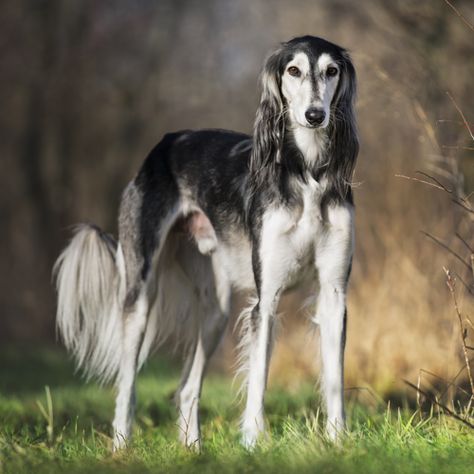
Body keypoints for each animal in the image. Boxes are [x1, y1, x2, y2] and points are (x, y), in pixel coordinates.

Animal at [54, 35, 356, 450]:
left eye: (332, 70)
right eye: (293, 70)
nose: (314, 115)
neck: (306, 173)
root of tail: (165, 143)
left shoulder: (333, 293)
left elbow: (335, 379)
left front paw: (338, 442)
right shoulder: (267, 297)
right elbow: (258, 378)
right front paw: (252, 443)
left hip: (216, 309)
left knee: (186, 387)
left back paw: (193, 449)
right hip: (141, 290)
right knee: (126, 385)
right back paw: (120, 445)